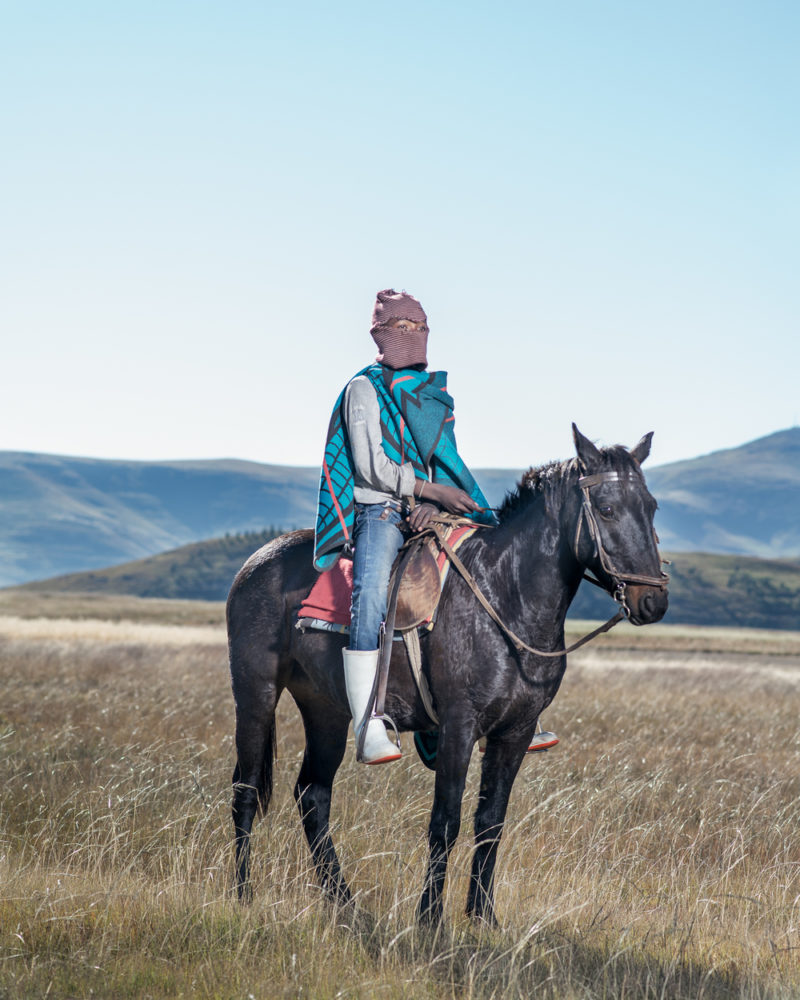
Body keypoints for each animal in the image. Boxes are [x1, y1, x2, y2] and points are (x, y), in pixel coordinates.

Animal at [227, 426, 668, 924]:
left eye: (651, 506)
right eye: (607, 509)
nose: (653, 602)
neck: (507, 595)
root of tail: (258, 561)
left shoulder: (513, 733)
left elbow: (490, 823)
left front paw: (483, 917)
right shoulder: (459, 724)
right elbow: (446, 822)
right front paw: (430, 920)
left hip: (326, 710)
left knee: (313, 795)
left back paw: (344, 902)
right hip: (256, 694)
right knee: (246, 788)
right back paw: (242, 894)